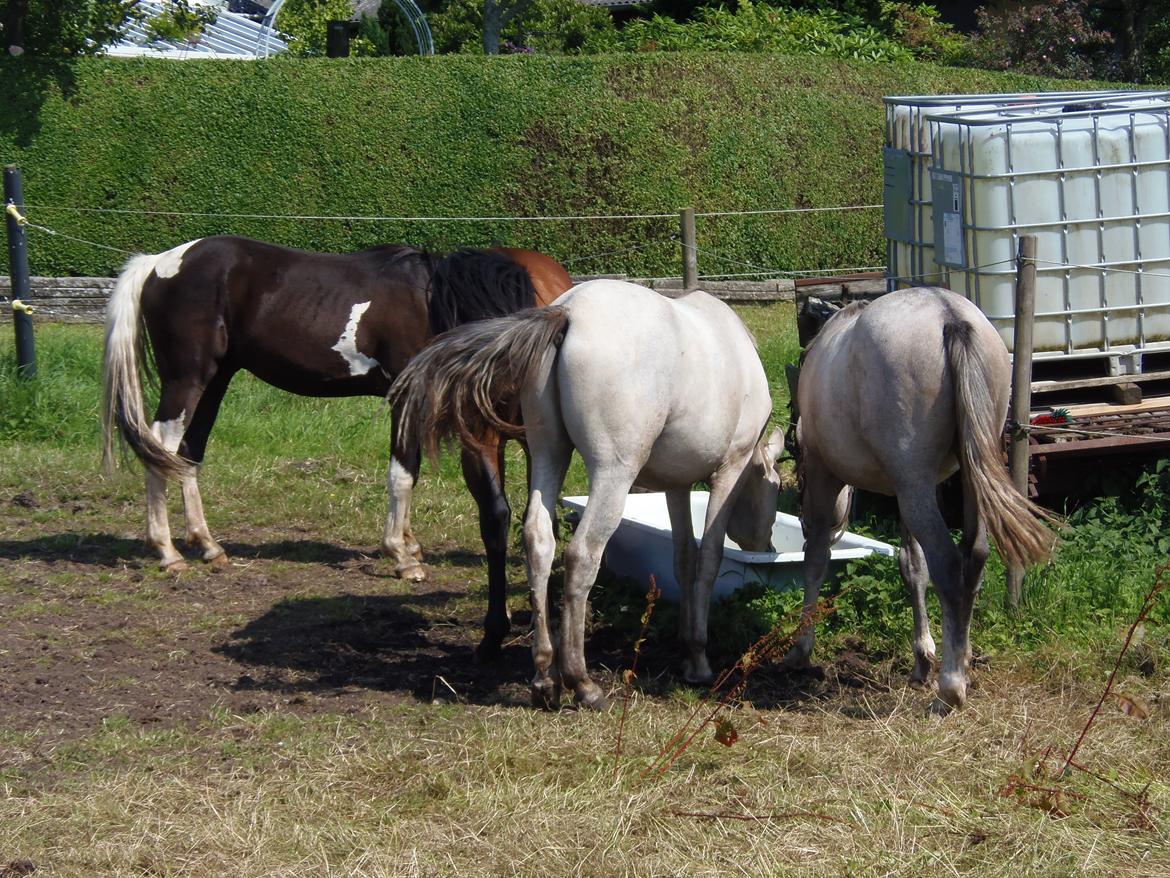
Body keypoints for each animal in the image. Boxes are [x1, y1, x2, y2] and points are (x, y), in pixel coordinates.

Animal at [104, 234, 570, 660]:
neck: (438, 303)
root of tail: (160, 262)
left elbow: (412, 473)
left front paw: (407, 544)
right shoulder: (406, 397)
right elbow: (402, 475)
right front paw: (401, 556)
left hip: (216, 378)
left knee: (187, 454)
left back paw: (207, 545)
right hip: (187, 378)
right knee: (159, 447)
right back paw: (167, 551)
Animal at [388, 283, 781, 716]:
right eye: (776, 491)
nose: (770, 547)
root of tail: (567, 313)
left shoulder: (676, 484)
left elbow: (683, 559)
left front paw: (686, 651)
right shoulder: (729, 470)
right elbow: (708, 560)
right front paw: (698, 658)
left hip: (548, 452)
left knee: (539, 542)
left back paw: (545, 676)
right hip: (612, 474)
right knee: (582, 554)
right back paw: (581, 681)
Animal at [790, 289, 1057, 716]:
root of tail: (949, 316)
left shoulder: (824, 474)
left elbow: (815, 558)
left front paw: (801, 647)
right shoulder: (906, 489)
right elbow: (913, 567)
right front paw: (922, 657)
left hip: (916, 486)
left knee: (948, 564)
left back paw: (950, 688)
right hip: (958, 478)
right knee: (973, 557)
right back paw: (962, 661)